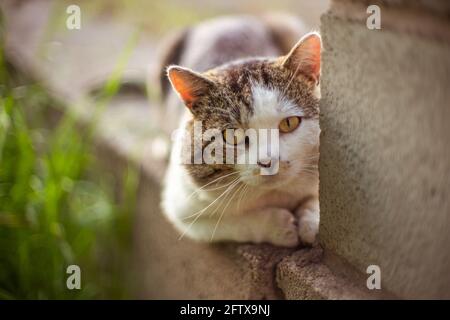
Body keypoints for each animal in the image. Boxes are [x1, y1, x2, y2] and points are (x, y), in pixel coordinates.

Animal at [158, 15, 320, 248]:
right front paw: (280, 226)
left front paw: (311, 223)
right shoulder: (184, 212)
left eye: (289, 123)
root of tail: (224, 20)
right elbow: (234, 223)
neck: (275, 194)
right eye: (232, 136)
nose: (268, 161)